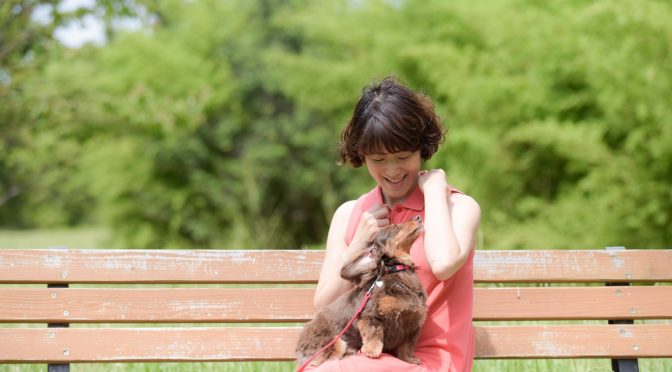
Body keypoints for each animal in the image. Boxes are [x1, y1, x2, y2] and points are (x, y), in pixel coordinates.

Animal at [294, 217, 426, 368]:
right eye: (393, 227)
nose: (418, 217)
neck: (397, 269)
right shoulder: (369, 315)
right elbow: (374, 333)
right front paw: (372, 351)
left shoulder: (412, 324)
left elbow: (407, 347)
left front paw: (410, 360)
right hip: (334, 343)